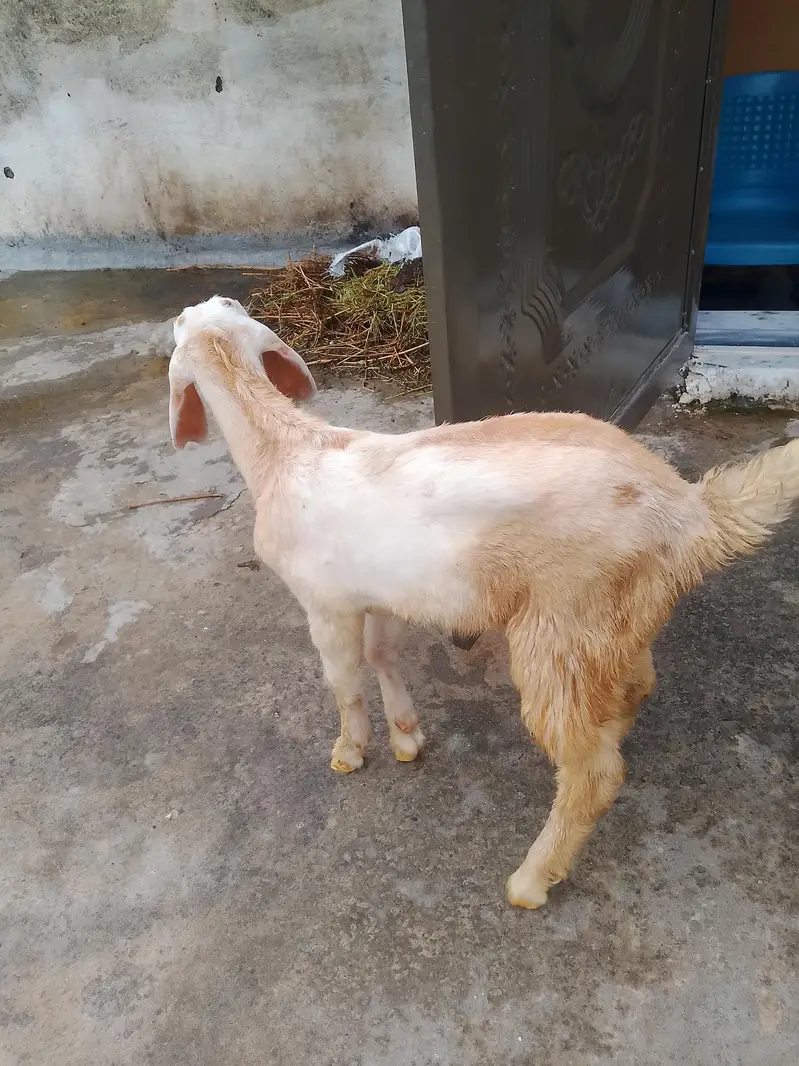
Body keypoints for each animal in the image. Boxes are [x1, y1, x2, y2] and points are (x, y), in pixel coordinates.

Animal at [168, 296, 799, 909]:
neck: (287, 449)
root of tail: (689, 512)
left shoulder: (325, 605)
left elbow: (344, 683)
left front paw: (350, 751)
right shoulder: (378, 592)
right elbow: (380, 656)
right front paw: (406, 736)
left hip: (560, 631)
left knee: (593, 773)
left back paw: (532, 881)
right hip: (613, 620)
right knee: (636, 689)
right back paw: (614, 731)